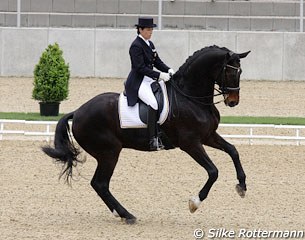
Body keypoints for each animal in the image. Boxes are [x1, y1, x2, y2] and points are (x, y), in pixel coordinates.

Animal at [42, 45, 249, 225]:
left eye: (240, 72)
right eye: (230, 72)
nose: (233, 101)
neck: (190, 97)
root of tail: (77, 112)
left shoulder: (207, 136)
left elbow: (233, 151)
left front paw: (242, 186)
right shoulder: (190, 143)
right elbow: (213, 171)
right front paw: (194, 203)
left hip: (107, 153)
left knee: (99, 184)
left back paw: (122, 214)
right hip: (109, 152)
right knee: (100, 184)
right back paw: (127, 215)